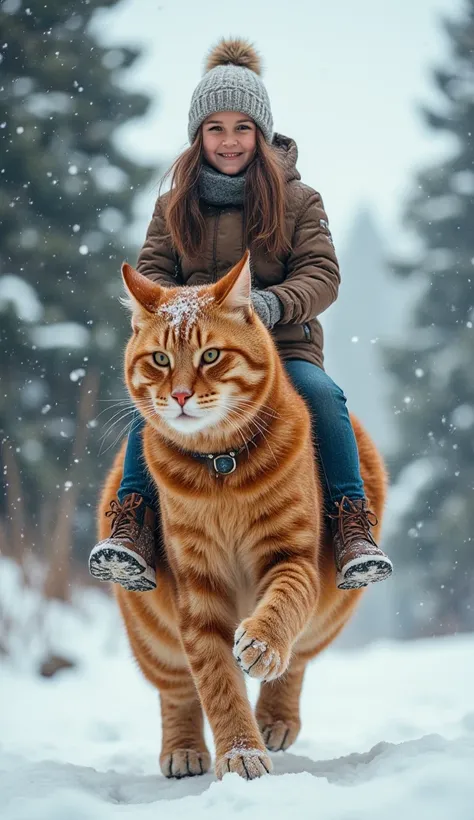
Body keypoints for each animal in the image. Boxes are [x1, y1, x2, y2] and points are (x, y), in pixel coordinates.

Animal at [98, 251, 386, 780]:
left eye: (211, 355)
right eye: (160, 359)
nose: (181, 395)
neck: (221, 468)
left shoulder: (292, 556)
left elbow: (284, 606)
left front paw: (261, 646)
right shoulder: (198, 586)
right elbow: (216, 681)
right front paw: (240, 754)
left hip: (330, 611)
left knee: (297, 660)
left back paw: (275, 717)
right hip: (152, 637)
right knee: (176, 690)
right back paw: (185, 749)